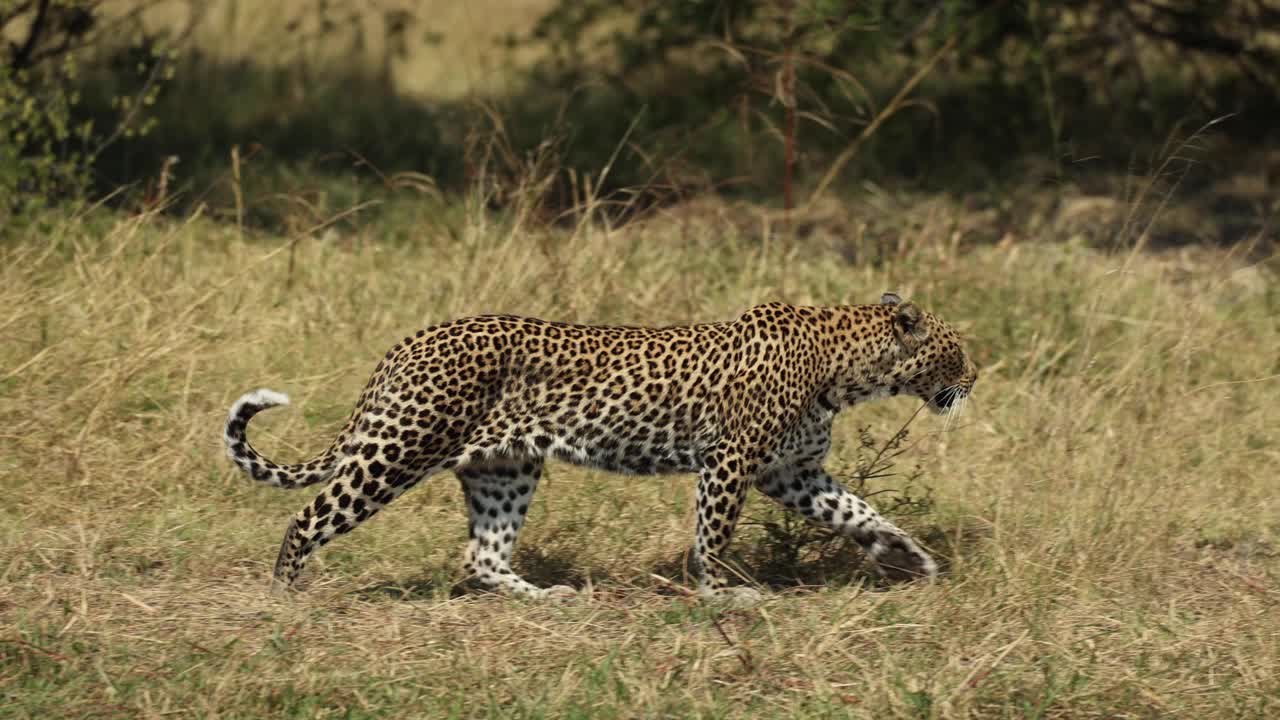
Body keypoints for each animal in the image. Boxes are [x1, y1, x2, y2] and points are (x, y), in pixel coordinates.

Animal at [223, 292, 977, 605]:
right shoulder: (731, 463)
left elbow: (860, 511)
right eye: (957, 351)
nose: (976, 377)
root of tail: (405, 346)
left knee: (482, 554)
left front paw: (908, 557)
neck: (848, 370)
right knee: (309, 517)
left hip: (506, 467)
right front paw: (721, 596)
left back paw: (547, 598)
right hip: (399, 447)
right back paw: (285, 597)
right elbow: (713, 537)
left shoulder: (793, 473)